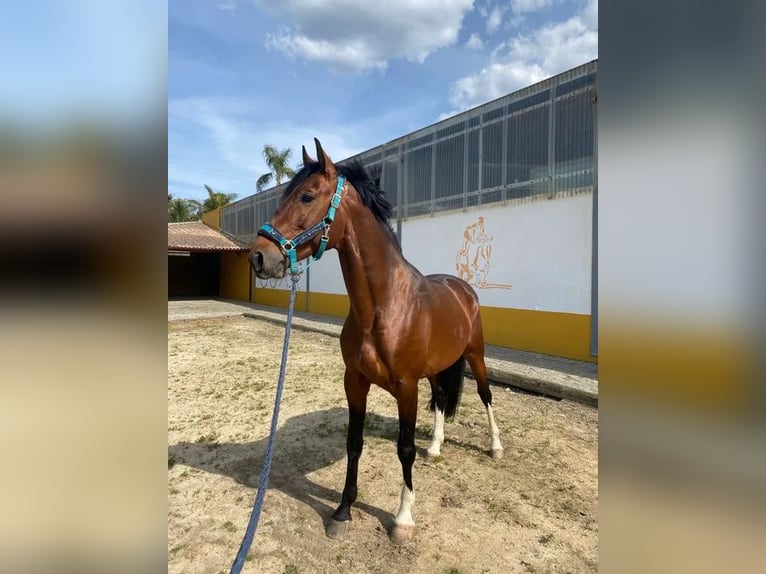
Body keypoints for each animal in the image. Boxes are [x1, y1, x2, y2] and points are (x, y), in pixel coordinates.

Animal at [249, 138, 503, 544]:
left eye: (306, 196)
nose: (259, 256)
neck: (384, 306)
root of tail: (462, 288)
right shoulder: (355, 380)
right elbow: (354, 442)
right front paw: (342, 510)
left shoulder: (406, 387)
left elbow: (404, 449)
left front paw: (403, 519)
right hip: (437, 368)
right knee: (442, 398)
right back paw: (436, 447)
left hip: (475, 354)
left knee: (485, 394)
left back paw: (495, 446)